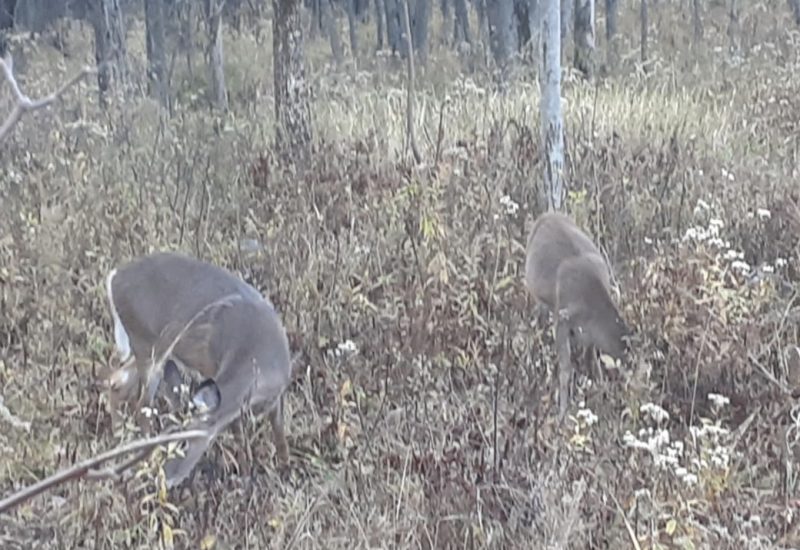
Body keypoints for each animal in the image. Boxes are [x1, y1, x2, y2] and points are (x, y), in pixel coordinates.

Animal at [101, 252, 292, 490]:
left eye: (184, 442)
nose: (164, 478)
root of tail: (114, 277)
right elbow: (238, 432)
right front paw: (247, 475)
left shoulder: (274, 396)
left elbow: (277, 430)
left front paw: (283, 470)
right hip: (146, 346)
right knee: (141, 406)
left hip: (155, 351)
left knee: (116, 381)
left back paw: (119, 436)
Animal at [524, 213, 632, 420]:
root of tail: (547, 215)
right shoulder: (563, 318)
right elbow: (566, 369)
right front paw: (562, 415)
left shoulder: (588, 335)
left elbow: (593, 363)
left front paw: (602, 394)